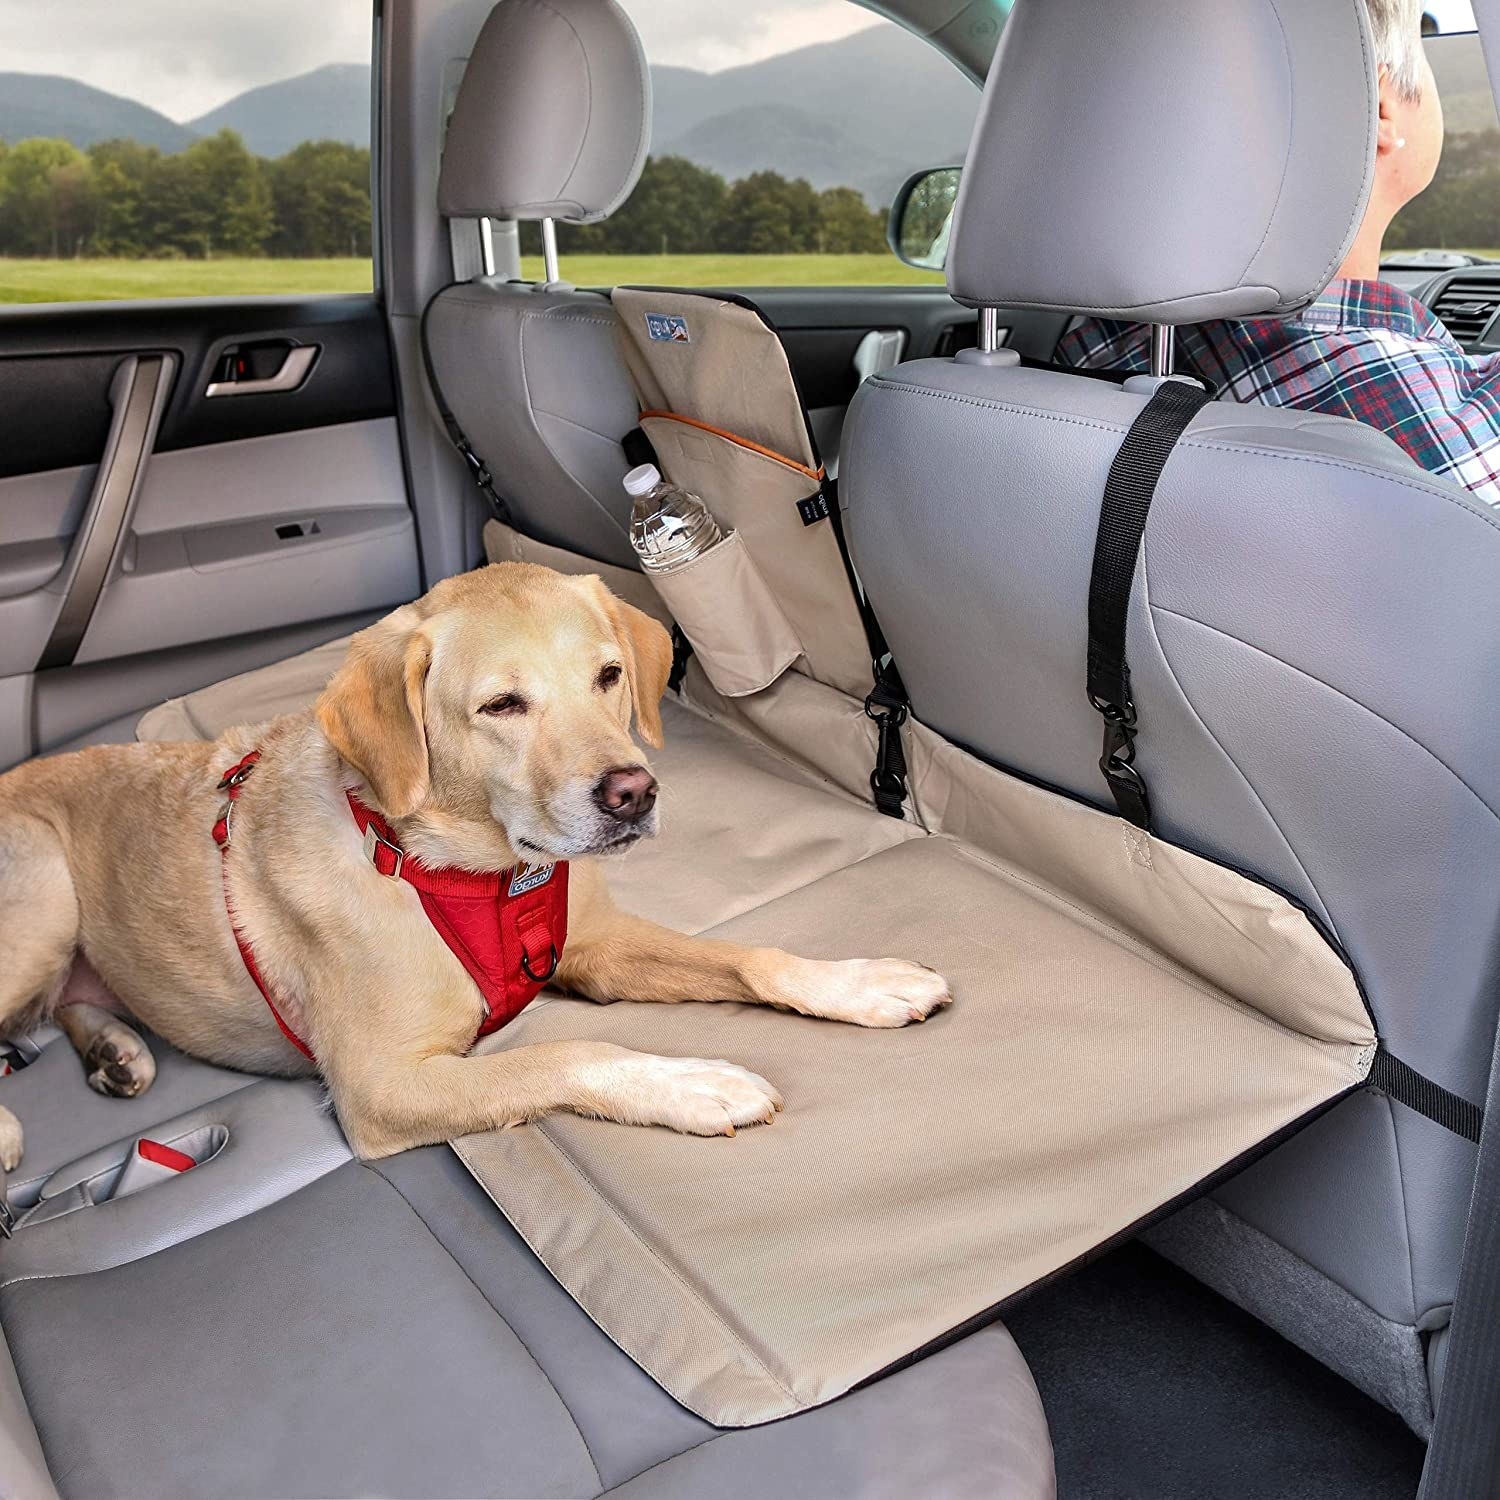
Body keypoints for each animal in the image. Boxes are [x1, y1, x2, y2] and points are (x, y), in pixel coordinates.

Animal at [0, 564, 948, 1158]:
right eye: (501, 705)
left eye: (609, 676)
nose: (633, 794)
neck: (475, 874)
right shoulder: (383, 1087)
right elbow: (561, 1055)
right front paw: (689, 1083)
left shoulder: (597, 945)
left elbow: (749, 955)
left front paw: (857, 982)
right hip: (43, 896)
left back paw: (115, 1051)